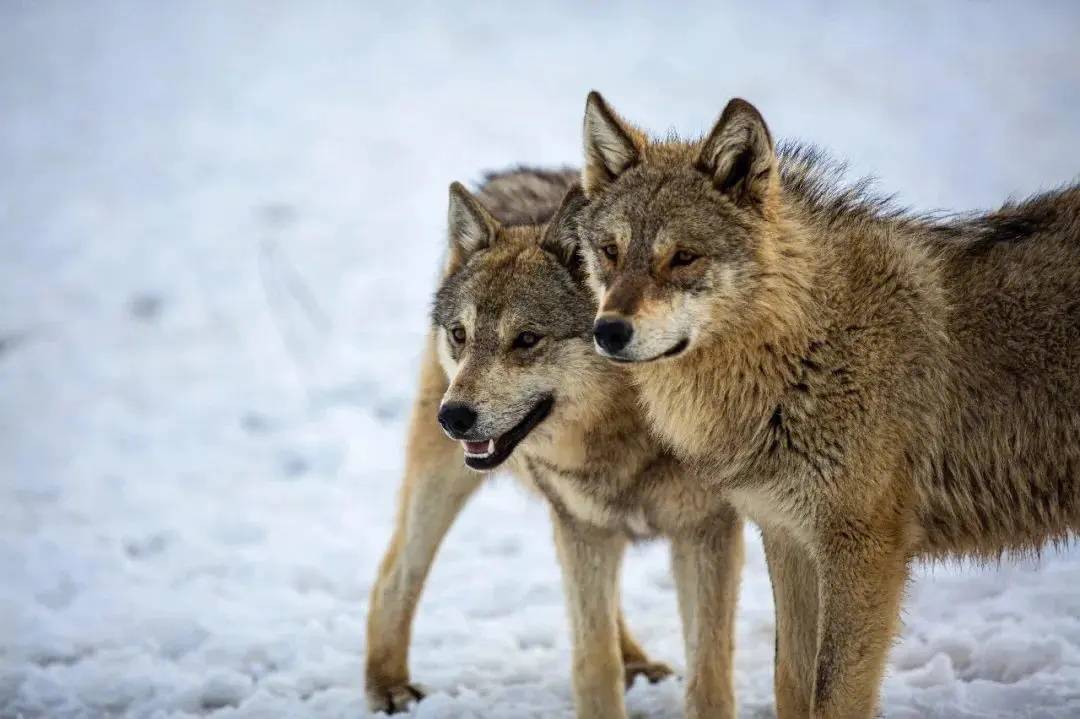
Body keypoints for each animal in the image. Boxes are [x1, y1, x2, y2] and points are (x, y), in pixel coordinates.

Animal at [362, 168, 743, 716]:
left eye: (526, 339)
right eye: (460, 334)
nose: (453, 418)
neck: (627, 430)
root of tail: (515, 176)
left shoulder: (707, 531)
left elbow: (710, 672)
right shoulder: (582, 524)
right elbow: (593, 663)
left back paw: (637, 662)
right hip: (444, 481)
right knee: (395, 573)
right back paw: (387, 686)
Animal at [574, 91, 1080, 716]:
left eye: (684, 257)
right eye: (611, 252)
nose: (608, 331)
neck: (808, 348)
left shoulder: (863, 552)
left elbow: (833, 695)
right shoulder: (788, 537)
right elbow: (791, 681)